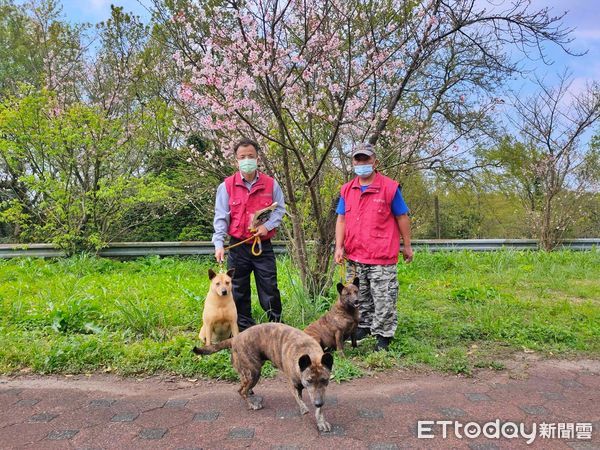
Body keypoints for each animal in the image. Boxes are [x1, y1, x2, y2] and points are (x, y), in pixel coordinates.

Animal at [196, 324, 338, 432]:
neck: (309, 353)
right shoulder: (293, 385)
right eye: (309, 381)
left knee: (245, 388)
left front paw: (321, 421)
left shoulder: (319, 393)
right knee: (241, 390)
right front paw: (304, 409)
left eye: (325, 380)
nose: (318, 403)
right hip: (253, 372)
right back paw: (251, 404)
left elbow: (319, 409)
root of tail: (235, 338)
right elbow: (299, 399)